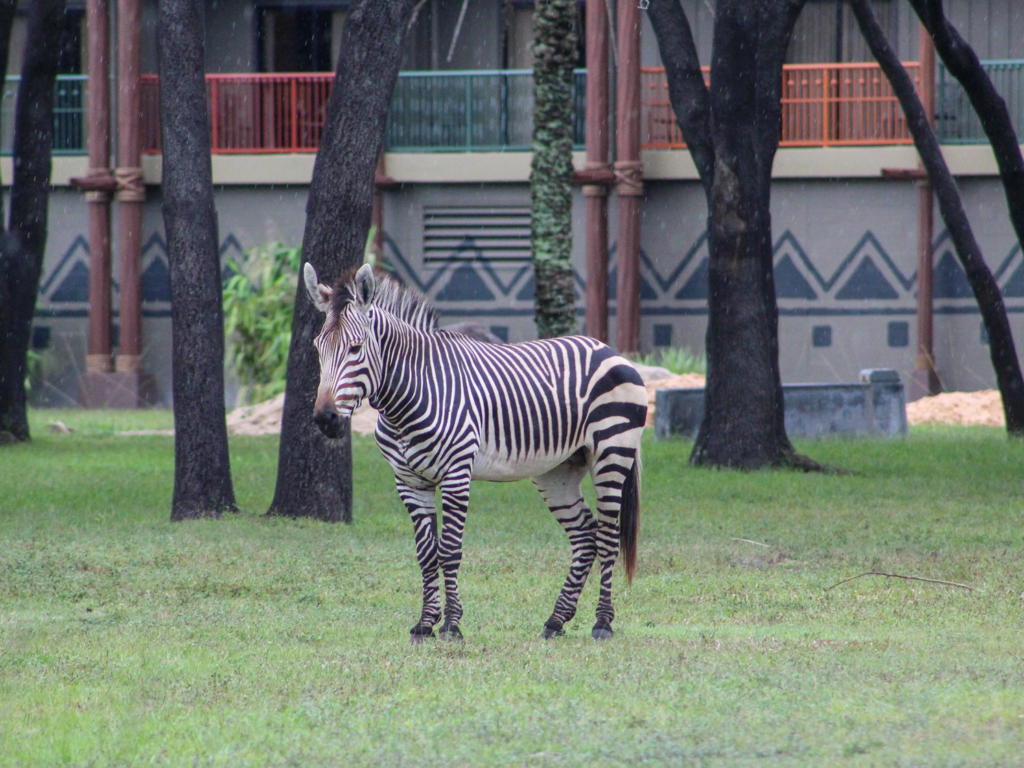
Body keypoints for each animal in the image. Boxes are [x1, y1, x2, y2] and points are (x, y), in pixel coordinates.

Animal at [304, 263, 647, 642]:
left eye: (356, 348)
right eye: (318, 348)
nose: (325, 419)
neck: (409, 397)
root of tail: (606, 348)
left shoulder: (456, 475)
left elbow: (449, 551)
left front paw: (452, 625)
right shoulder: (409, 481)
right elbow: (426, 554)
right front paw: (425, 624)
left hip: (611, 453)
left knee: (607, 536)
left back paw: (602, 623)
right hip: (558, 471)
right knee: (585, 535)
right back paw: (556, 620)